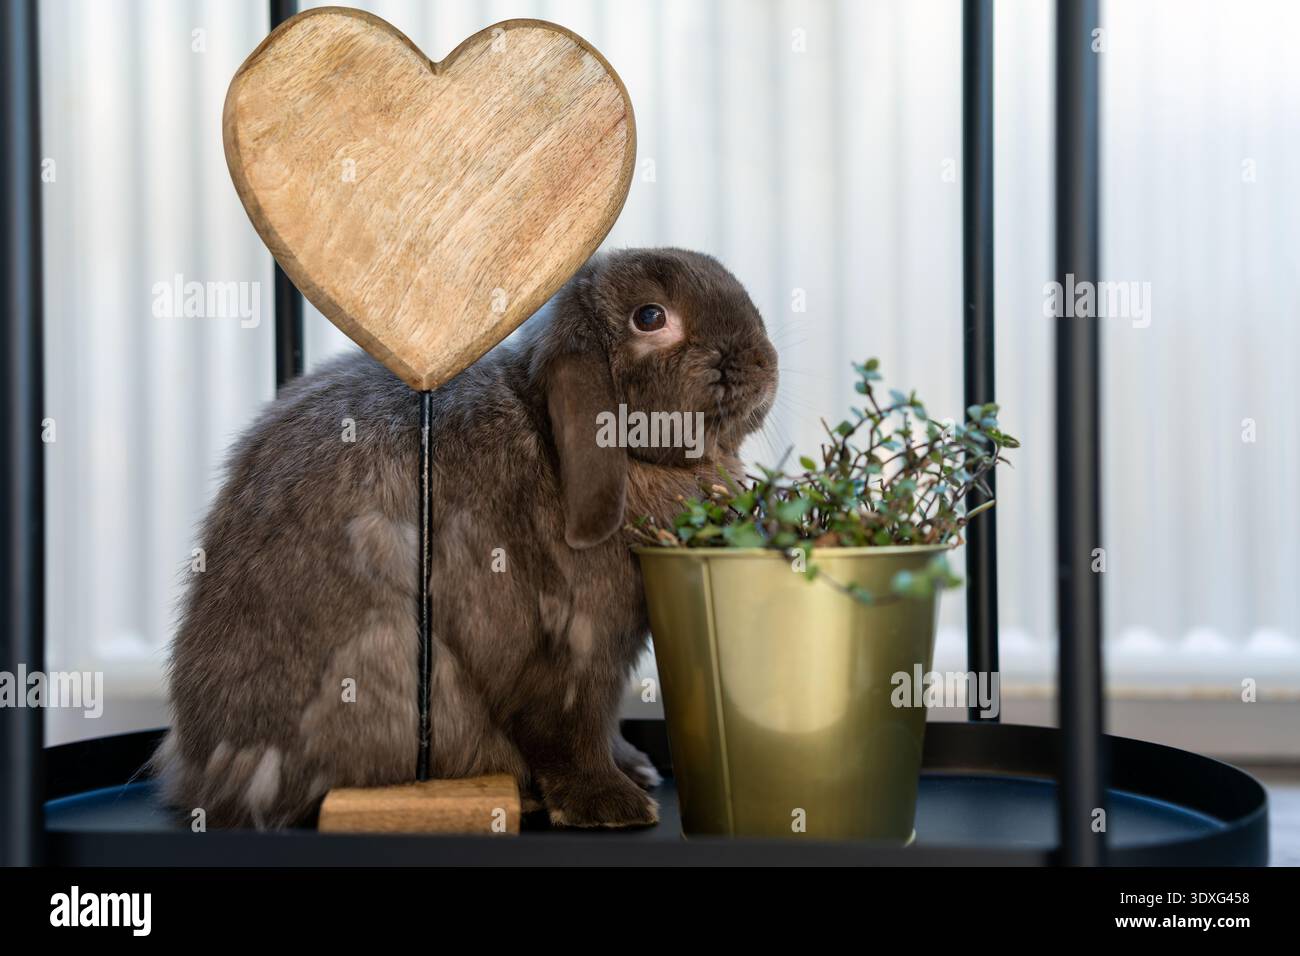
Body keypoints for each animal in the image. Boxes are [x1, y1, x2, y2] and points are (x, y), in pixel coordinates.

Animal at [151, 247, 778, 829]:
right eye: (650, 317)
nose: (764, 361)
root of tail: (208, 777)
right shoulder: (575, 652)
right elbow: (572, 734)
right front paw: (613, 806)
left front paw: (636, 771)